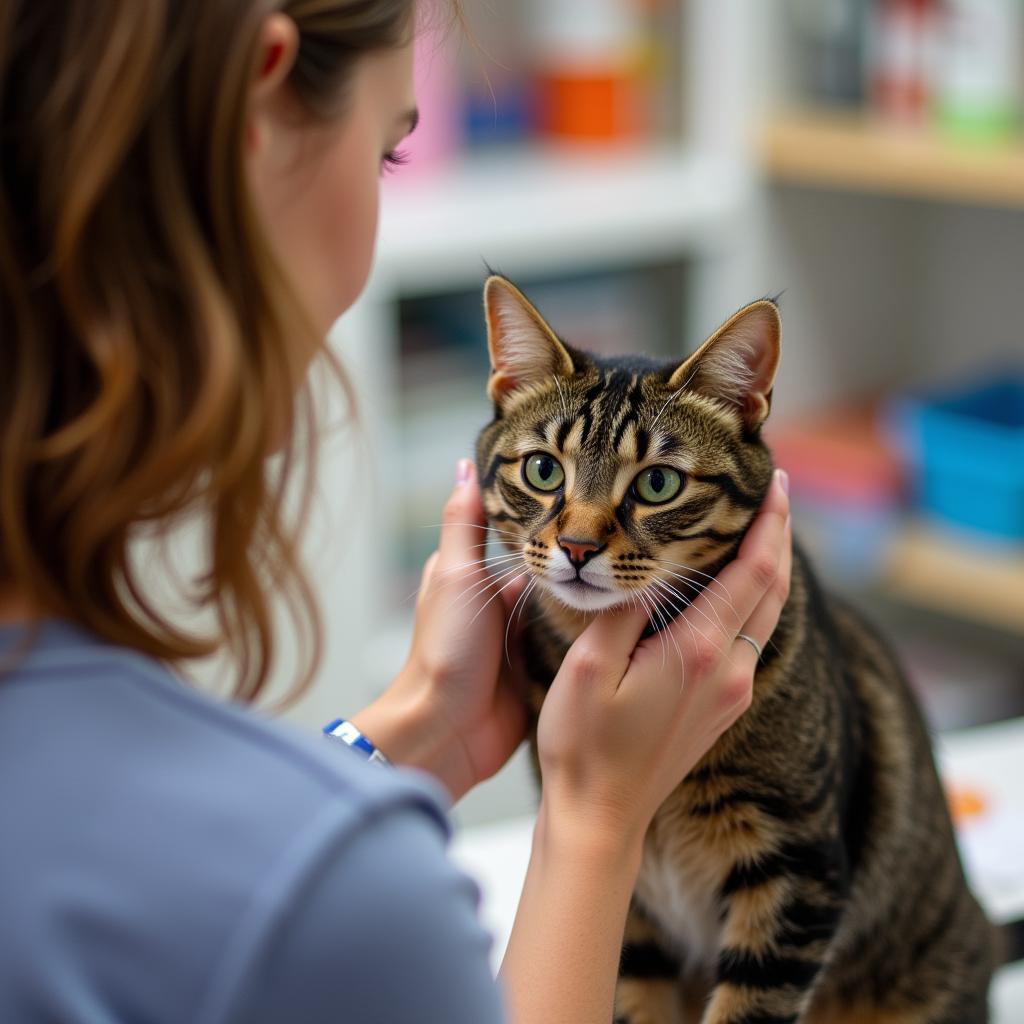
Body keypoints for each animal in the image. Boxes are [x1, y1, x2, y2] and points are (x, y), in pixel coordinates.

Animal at [475, 274, 995, 1024]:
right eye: (544, 470)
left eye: (658, 482)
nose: (576, 547)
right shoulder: (632, 911)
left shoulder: (795, 868)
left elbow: (748, 1007)